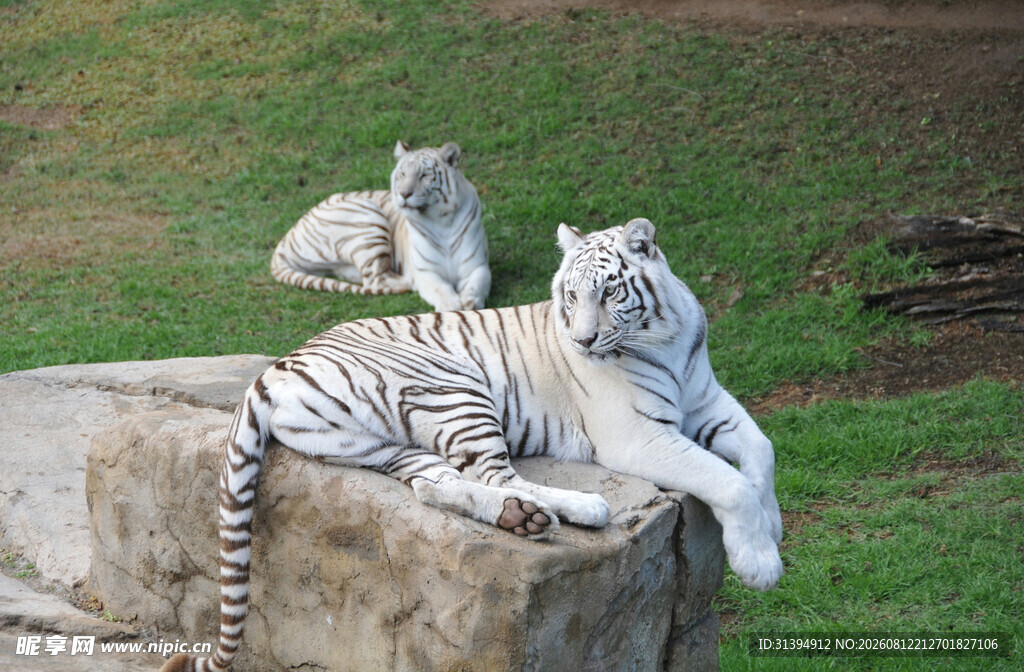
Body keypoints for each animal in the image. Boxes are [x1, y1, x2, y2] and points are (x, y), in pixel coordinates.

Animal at [161, 218, 783, 672]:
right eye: (570, 295)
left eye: (610, 290)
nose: (583, 340)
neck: (669, 335)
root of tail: (275, 368)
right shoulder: (638, 435)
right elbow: (727, 481)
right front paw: (759, 566)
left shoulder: (706, 400)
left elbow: (763, 450)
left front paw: (772, 530)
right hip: (454, 389)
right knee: (495, 474)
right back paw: (577, 509)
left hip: (375, 445)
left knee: (438, 485)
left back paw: (517, 518)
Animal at [269, 140, 490, 312]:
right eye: (402, 174)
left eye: (425, 175)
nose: (404, 193)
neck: (441, 220)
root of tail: (284, 241)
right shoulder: (425, 272)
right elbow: (440, 289)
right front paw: (451, 305)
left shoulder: (477, 266)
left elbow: (476, 285)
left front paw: (470, 302)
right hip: (368, 217)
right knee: (374, 280)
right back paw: (406, 283)